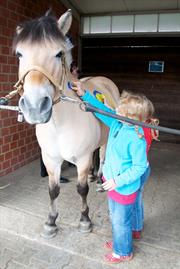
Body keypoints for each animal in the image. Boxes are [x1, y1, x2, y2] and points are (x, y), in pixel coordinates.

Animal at [12, 9, 119, 238]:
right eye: (19, 54)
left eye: (58, 54)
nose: (35, 107)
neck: (59, 125)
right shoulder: (51, 159)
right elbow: (53, 190)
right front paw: (51, 222)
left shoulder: (82, 158)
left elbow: (81, 190)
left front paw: (85, 220)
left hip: (106, 141)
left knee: (102, 156)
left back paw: (100, 180)